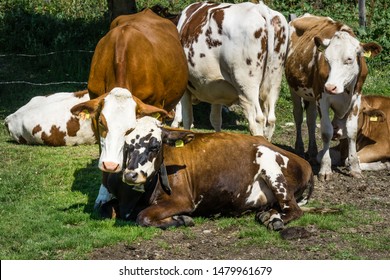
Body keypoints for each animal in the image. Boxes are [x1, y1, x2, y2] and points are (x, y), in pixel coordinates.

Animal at [101, 115, 314, 231]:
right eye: (126, 145)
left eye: (154, 146)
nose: (131, 175)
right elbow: (106, 209)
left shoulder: (183, 200)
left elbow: (142, 216)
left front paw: (181, 219)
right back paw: (266, 215)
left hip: (271, 166)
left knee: (294, 210)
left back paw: (274, 220)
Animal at [175, 1, 288, 139]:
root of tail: (259, 8)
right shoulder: (216, 88)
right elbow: (215, 119)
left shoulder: (186, 88)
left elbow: (187, 118)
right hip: (274, 80)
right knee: (271, 120)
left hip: (247, 85)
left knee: (257, 120)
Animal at [284, 13, 380, 179]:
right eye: (327, 60)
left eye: (349, 59)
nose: (330, 87)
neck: (345, 89)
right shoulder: (322, 97)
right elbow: (326, 131)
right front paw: (325, 169)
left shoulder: (356, 97)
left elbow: (352, 131)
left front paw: (355, 167)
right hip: (294, 88)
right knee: (298, 116)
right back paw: (300, 149)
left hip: (311, 95)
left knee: (310, 118)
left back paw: (312, 152)